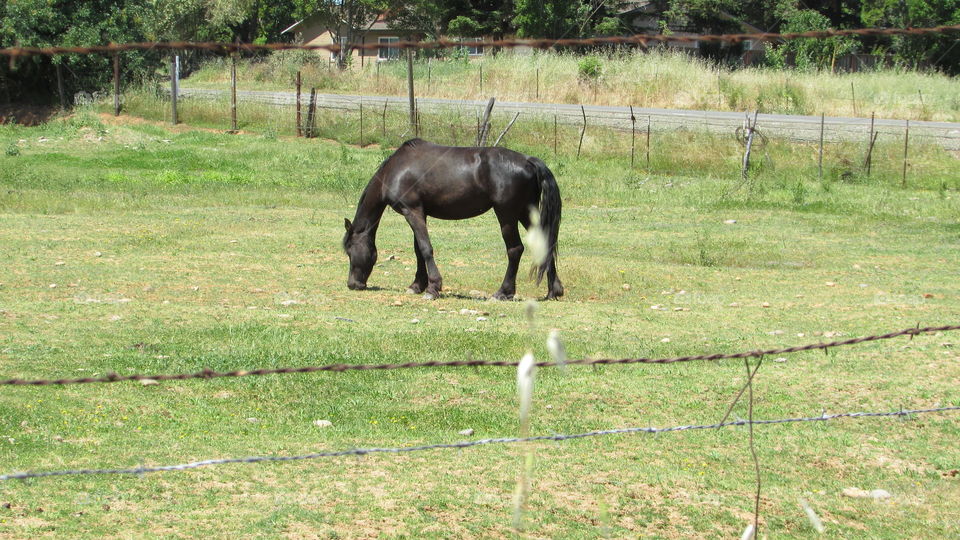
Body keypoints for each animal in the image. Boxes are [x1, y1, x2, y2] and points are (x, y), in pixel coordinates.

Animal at [342, 138, 563, 300]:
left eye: (350, 251)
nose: (352, 284)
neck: (396, 169)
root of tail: (528, 160)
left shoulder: (412, 211)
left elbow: (425, 249)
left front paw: (432, 288)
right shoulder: (419, 213)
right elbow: (418, 250)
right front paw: (417, 285)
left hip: (507, 215)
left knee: (515, 249)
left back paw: (503, 292)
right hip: (526, 214)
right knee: (545, 243)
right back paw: (553, 291)